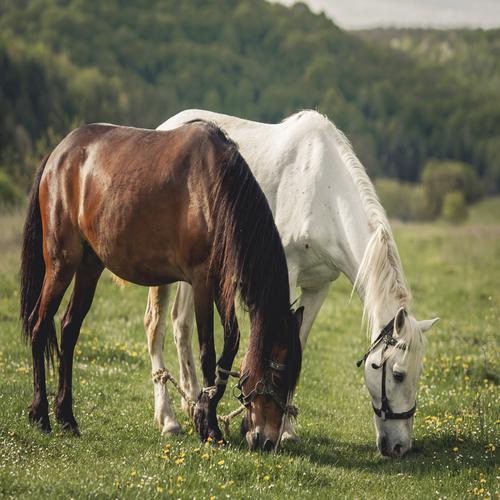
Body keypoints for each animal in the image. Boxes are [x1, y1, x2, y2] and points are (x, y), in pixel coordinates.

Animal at [19, 120, 302, 450]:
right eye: (278, 375)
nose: (268, 441)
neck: (215, 190)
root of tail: (57, 154)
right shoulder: (202, 281)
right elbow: (207, 352)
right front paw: (209, 425)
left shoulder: (221, 284)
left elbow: (231, 342)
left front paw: (204, 412)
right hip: (61, 264)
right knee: (39, 327)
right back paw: (40, 414)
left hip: (90, 267)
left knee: (68, 329)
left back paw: (66, 417)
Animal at [145, 109, 438, 458]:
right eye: (397, 374)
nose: (399, 447)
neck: (325, 193)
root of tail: (166, 127)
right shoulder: (283, 278)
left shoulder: (318, 287)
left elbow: (298, 341)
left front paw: (286, 429)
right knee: (156, 327)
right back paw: (168, 419)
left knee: (182, 325)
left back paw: (192, 403)